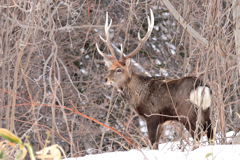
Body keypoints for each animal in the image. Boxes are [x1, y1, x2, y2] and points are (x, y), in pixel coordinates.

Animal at [95, 9, 212, 149]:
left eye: (119, 69)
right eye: (110, 68)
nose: (105, 79)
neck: (138, 96)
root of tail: (200, 86)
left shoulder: (152, 116)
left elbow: (151, 142)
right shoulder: (161, 122)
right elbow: (156, 143)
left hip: (187, 113)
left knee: (197, 135)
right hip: (206, 110)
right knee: (210, 132)